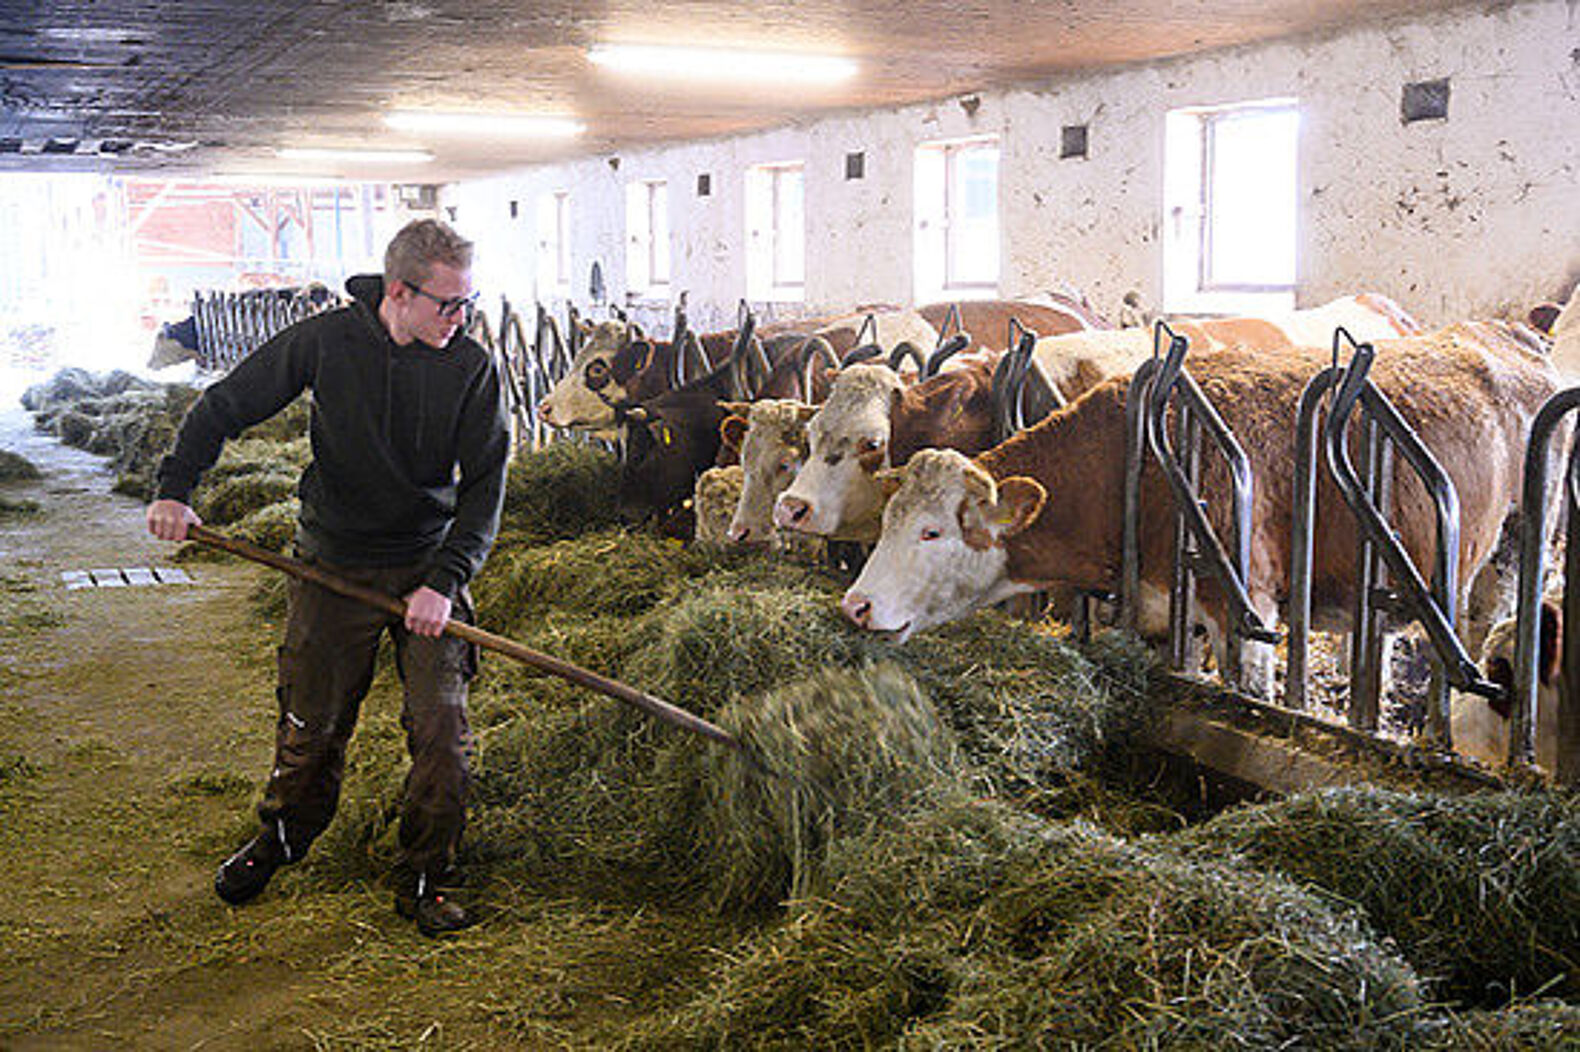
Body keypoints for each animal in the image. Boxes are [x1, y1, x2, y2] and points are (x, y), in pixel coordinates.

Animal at [840, 319, 1554, 695]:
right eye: (887, 521)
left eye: (931, 533)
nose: (856, 606)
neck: (1135, 468)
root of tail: (1498, 331)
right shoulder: (1162, 610)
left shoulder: (1246, 602)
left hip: (1518, 545)